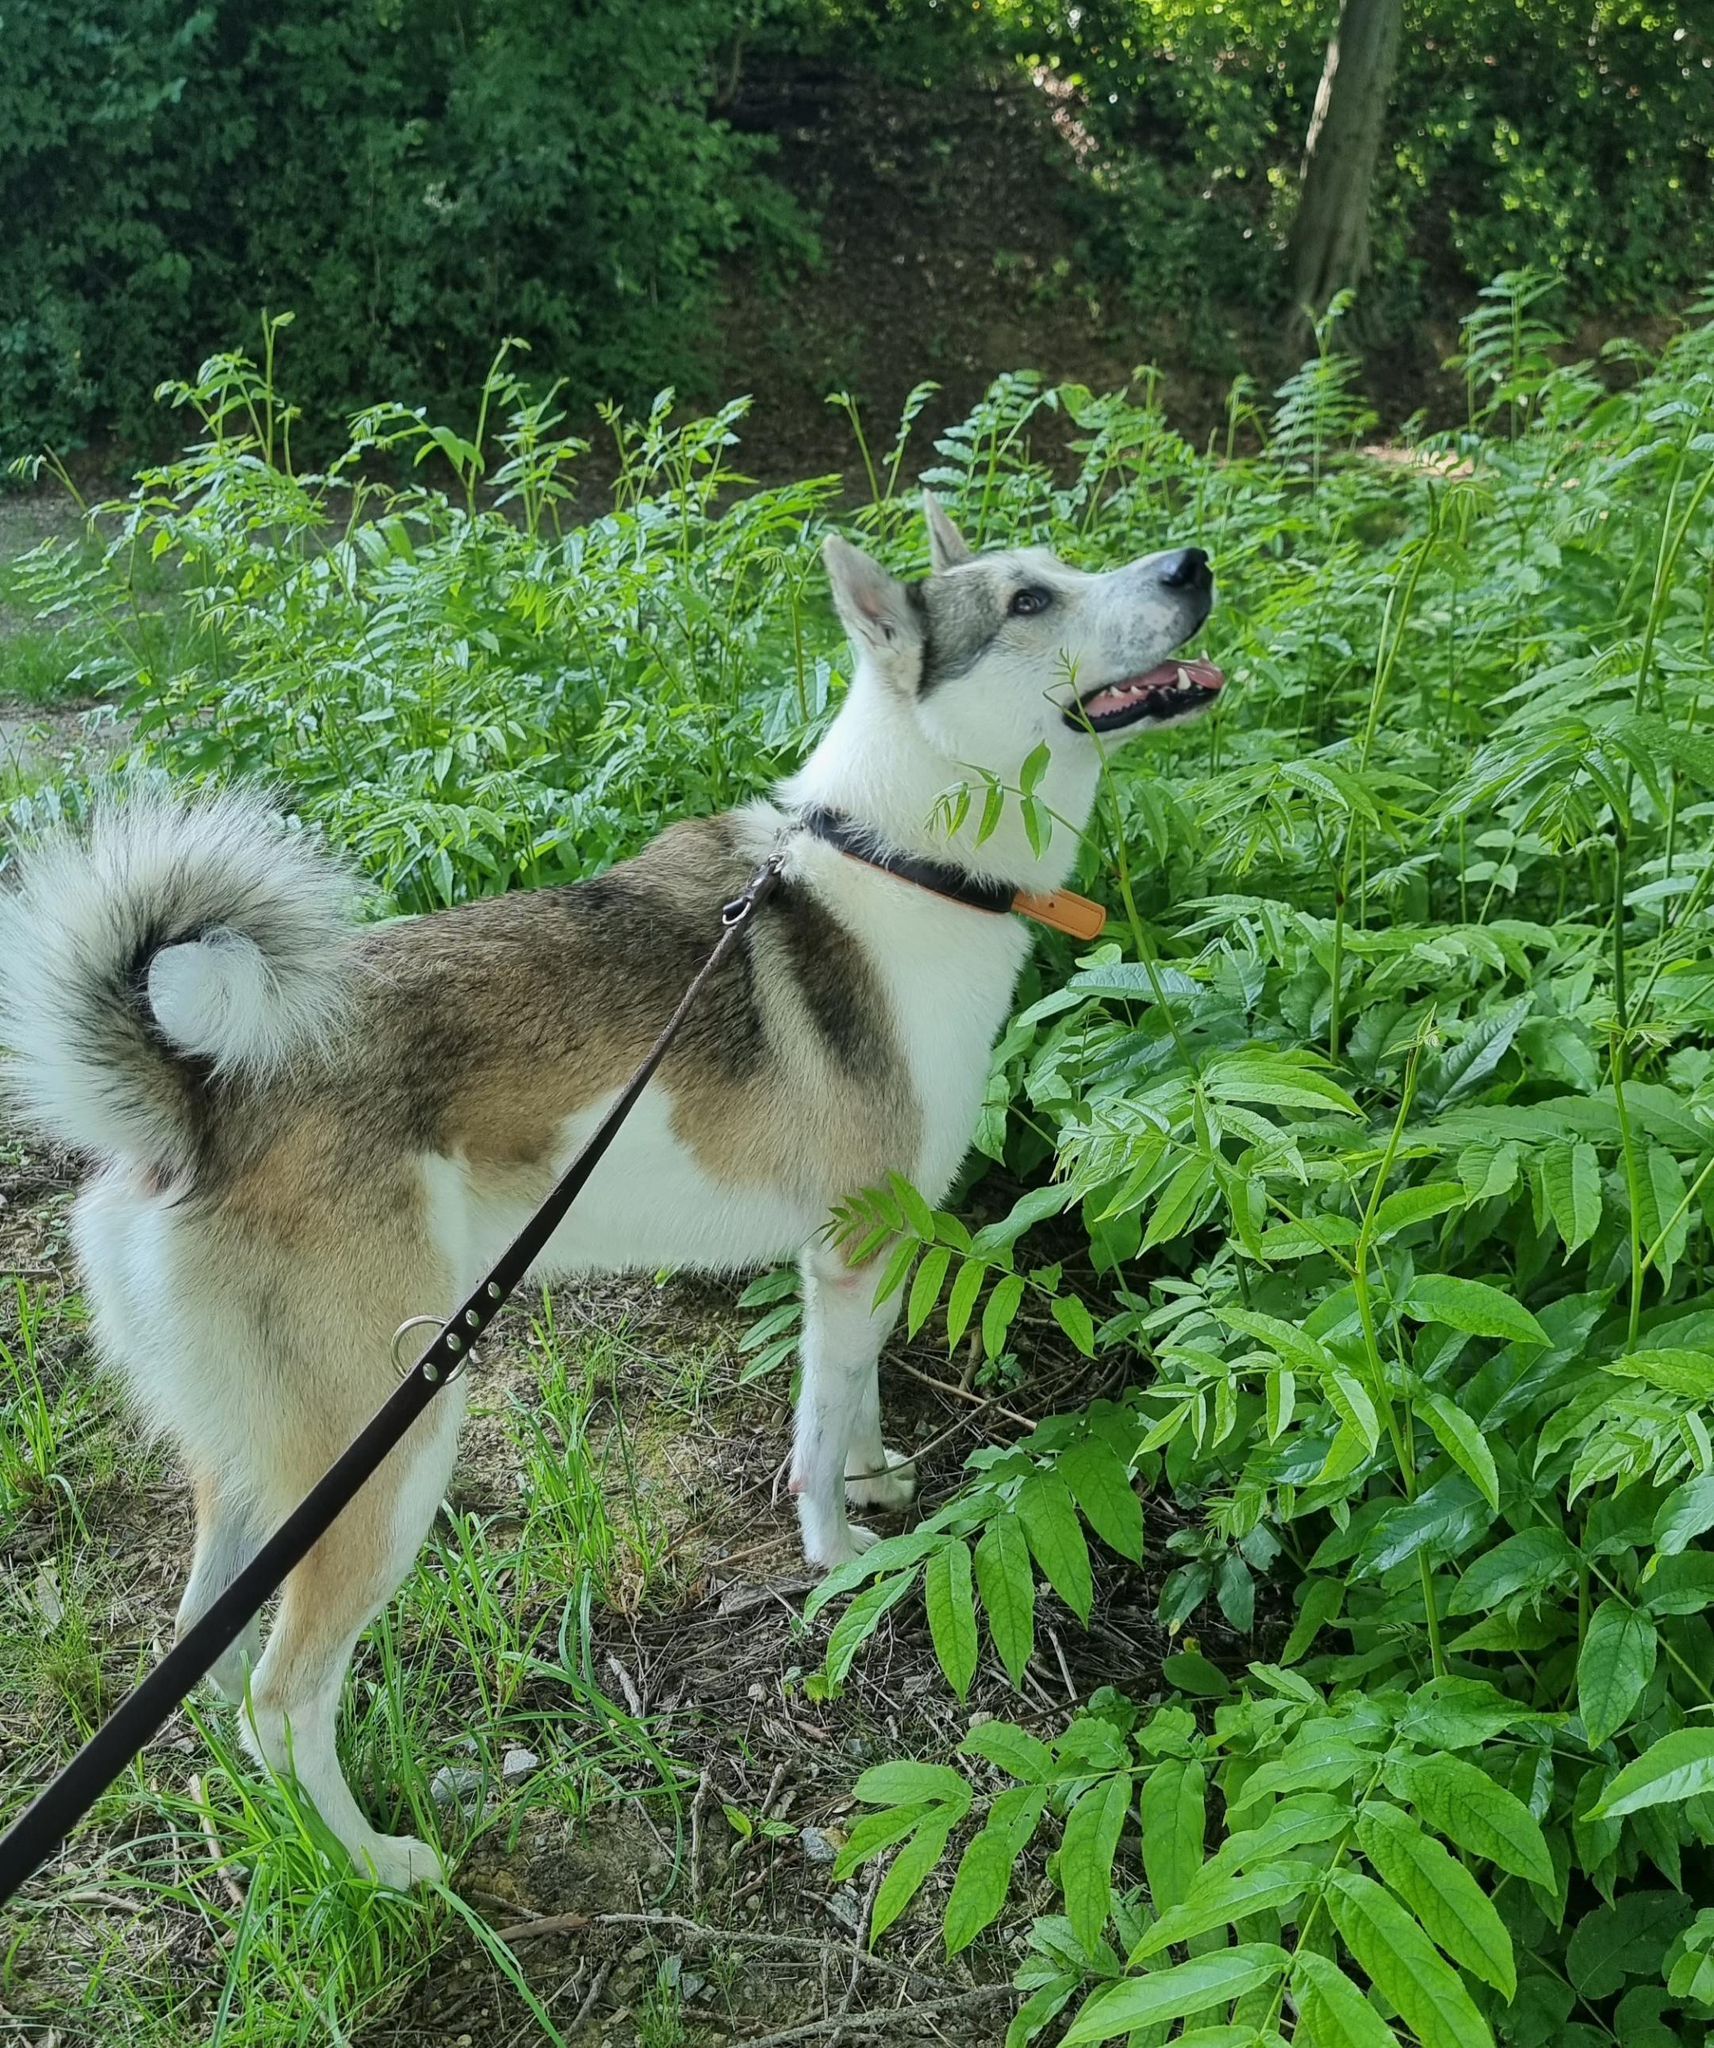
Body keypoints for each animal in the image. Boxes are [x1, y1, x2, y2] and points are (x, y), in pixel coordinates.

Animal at [0, 494, 1219, 1887]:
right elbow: (813, 1434)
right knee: (278, 1693)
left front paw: (870, 1475)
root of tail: (197, 1097)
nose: (1193, 565)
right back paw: (378, 1863)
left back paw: (278, 1842)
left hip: (266, 1462)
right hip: (390, 1444)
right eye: (1027, 602)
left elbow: (852, 1395)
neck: (900, 859)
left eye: (1067, 568)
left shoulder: (856, 1258)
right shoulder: (849, 1249)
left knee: (206, 1661)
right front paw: (835, 1551)